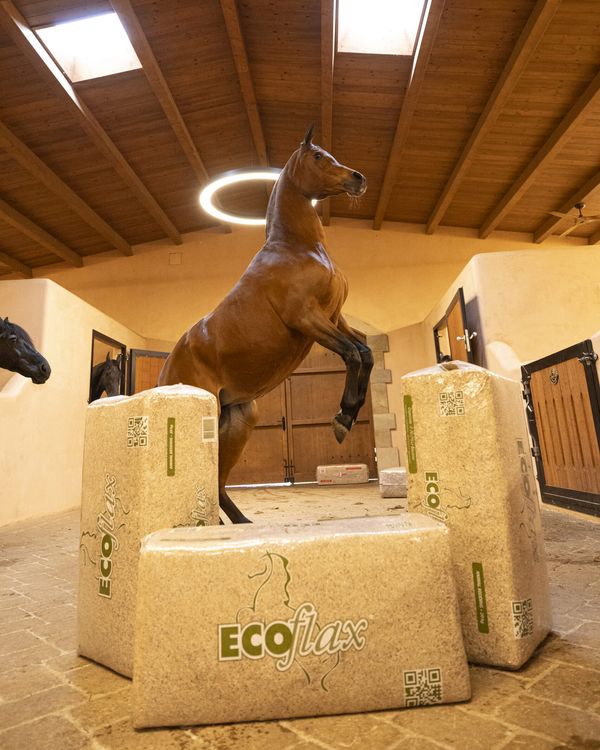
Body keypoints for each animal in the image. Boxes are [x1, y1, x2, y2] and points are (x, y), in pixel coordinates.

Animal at [159, 125, 372, 524]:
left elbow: (365, 353)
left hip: (238, 422)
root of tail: (165, 374)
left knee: (217, 482)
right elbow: (351, 354)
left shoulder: (334, 317)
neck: (297, 248)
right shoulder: (308, 319)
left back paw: (241, 526)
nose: (358, 178)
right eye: (318, 156)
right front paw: (342, 418)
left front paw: (348, 415)